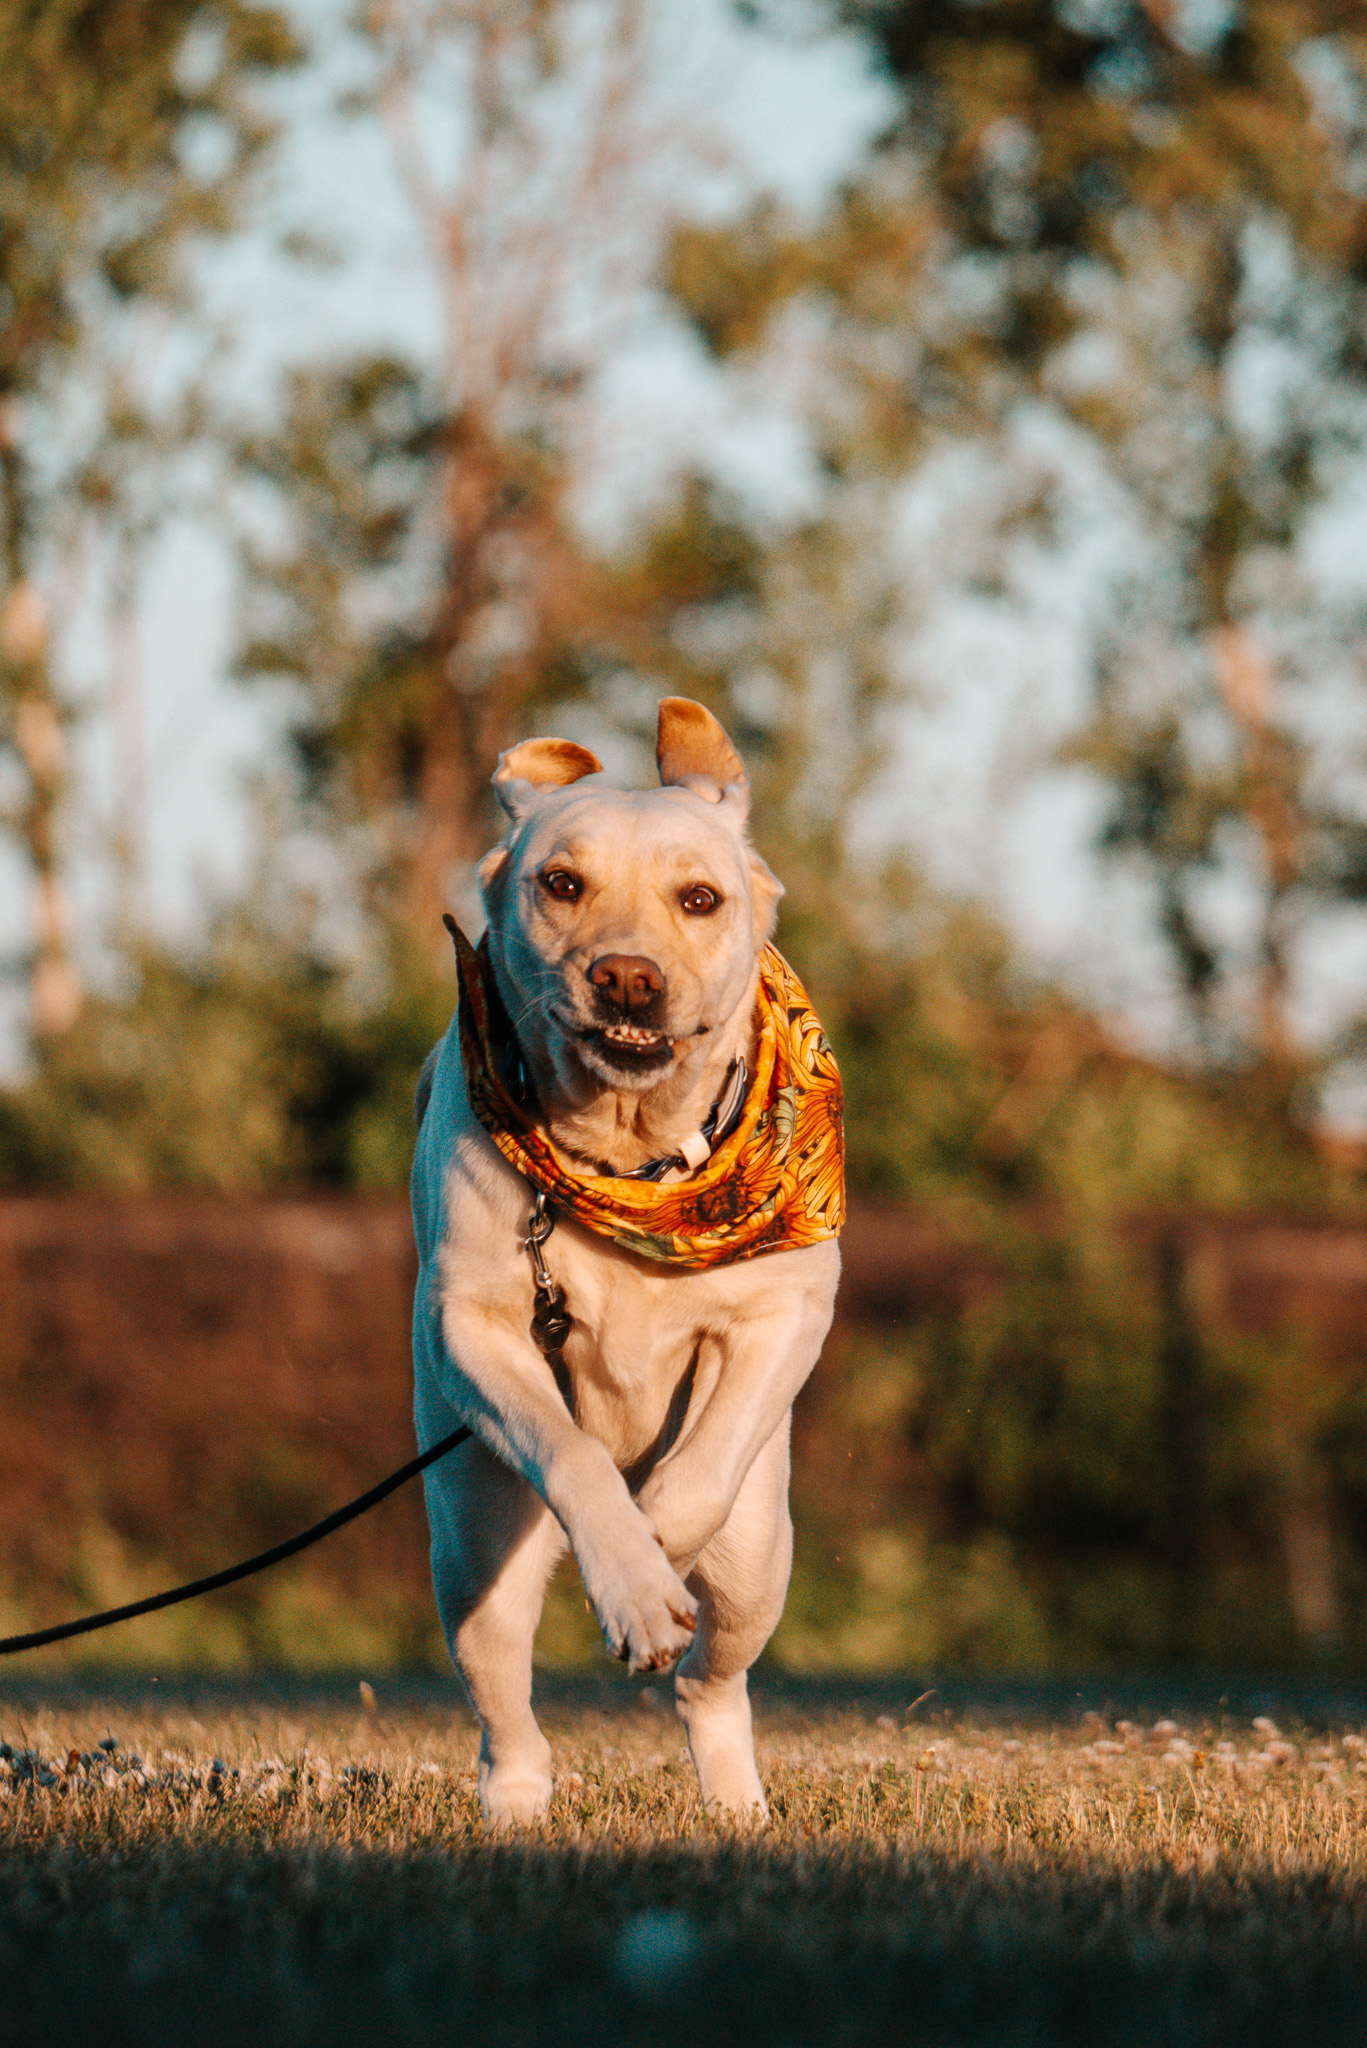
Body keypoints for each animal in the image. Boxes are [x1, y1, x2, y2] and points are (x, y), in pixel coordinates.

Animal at [411, 697, 842, 1823]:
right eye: (561, 883)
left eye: (699, 898)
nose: (626, 977)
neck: (628, 1156)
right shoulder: (472, 1323)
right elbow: (570, 1452)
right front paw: (632, 1576)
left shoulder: (784, 1311)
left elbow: (686, 1488)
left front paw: (656, 1561)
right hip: (471, 1537)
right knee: (502, 1694)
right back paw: (516, 1804)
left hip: (761, 1551)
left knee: (713, 1679)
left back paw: (735, 1803)